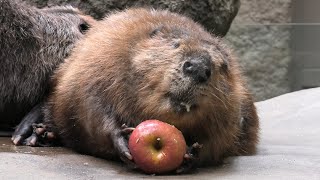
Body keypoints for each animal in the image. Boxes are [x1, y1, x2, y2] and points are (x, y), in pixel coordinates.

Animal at [42, 8, 258, 171]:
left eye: (223, 66)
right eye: (175, 44)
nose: (197, 67)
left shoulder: (232, 110)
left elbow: (219, 141)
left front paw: (192, 154)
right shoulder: (100, 60)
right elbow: (88, 102)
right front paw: (122, 137)